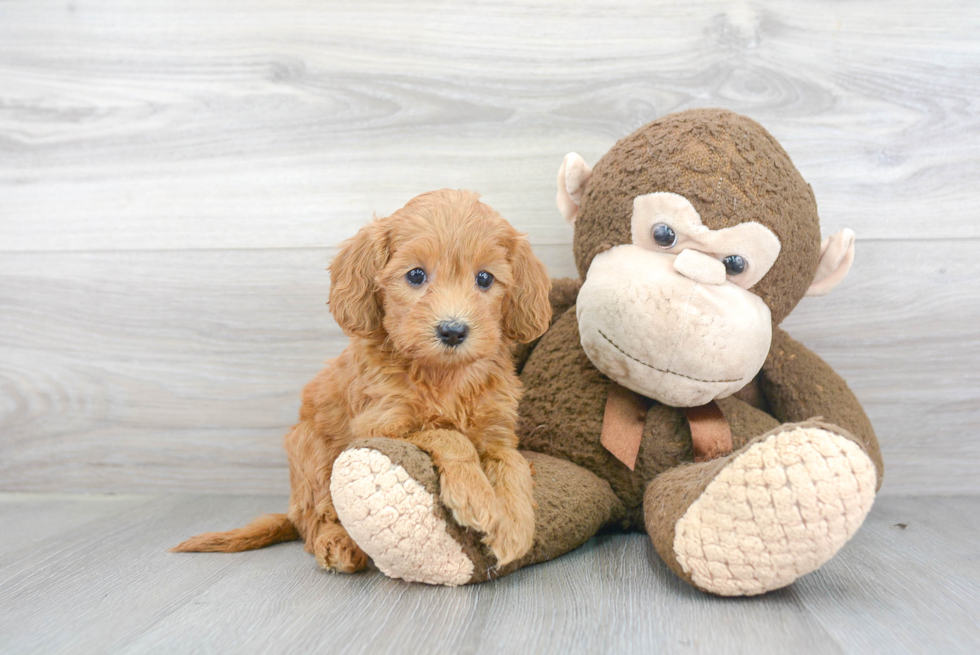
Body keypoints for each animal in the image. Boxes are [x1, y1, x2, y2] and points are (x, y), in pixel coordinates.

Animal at [171, 188, 548, 568]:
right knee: (316, 517)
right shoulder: (380, 426)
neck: (444, 375)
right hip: (311, 454)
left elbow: (512, 461)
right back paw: (336, 544)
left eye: (485, 278)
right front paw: (477, 496)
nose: (453, 331)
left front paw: (515, 526)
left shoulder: (497, 431)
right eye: (416, 275)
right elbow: (449, 436)